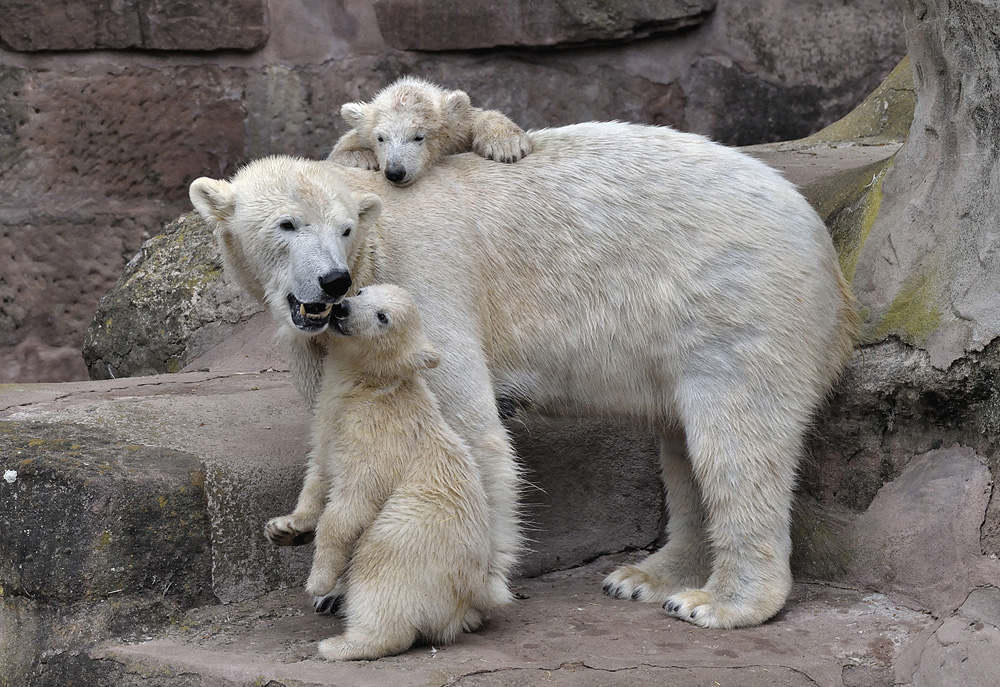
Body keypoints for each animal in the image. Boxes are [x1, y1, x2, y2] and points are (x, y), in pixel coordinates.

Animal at [191, 119, 856, 628]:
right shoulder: (320, 341)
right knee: (684, 443)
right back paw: (644, 576)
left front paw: (469, 586)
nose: (333, 282)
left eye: (345, 229)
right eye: (286, 225)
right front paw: (307, 550)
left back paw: (718, 603)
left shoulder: (424, 282)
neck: (372, 248)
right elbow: (340, 436)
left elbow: (468, 433)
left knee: (736, 440)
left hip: (736, 296)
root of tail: (819, 238)